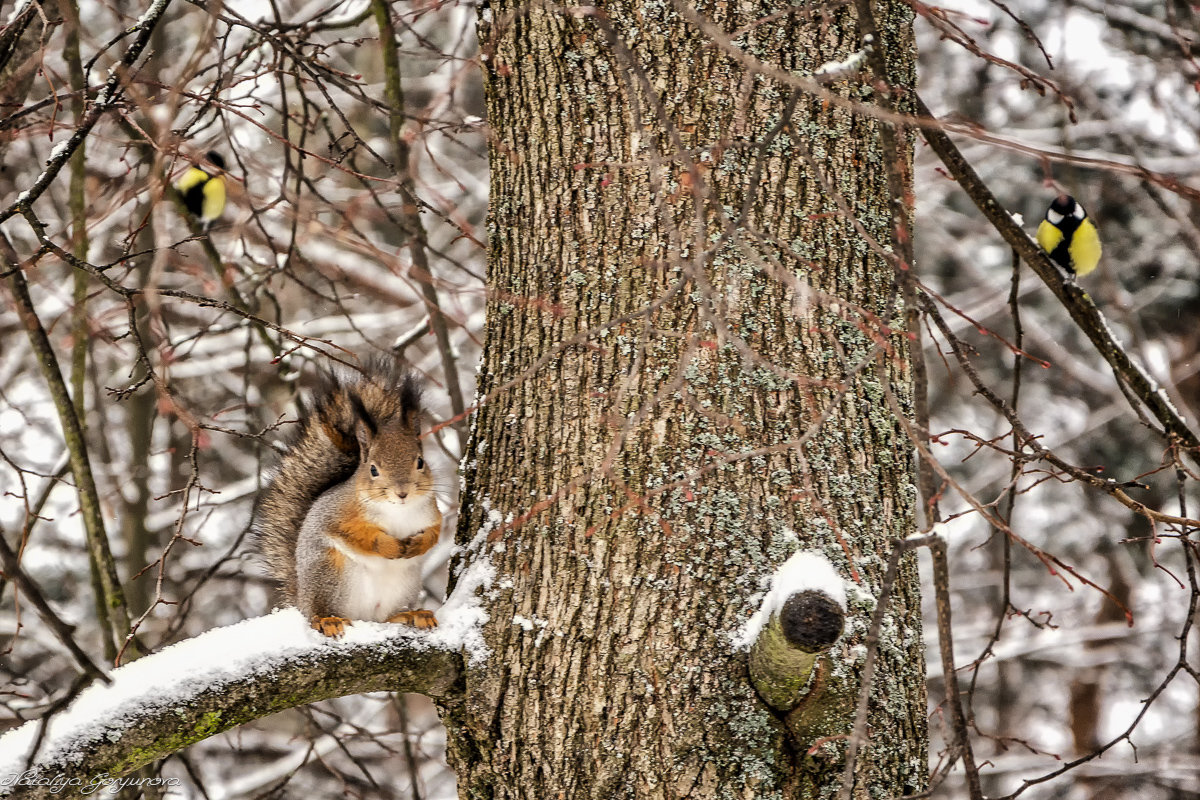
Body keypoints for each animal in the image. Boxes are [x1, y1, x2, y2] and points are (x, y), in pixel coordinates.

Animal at [255, 362, 444, 638]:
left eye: (420, 462)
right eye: (373, 469)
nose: (402, 492)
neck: (398, 510)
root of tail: (302, 600)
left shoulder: (430, 512)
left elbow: (435, 532)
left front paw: (418, 544)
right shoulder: (337, 515)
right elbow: (356, 535)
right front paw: (389, 546)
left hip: (403, 587)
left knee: (386, 618)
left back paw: (412, 614)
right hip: (330, 573)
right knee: (320, 613)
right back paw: (328, 620)